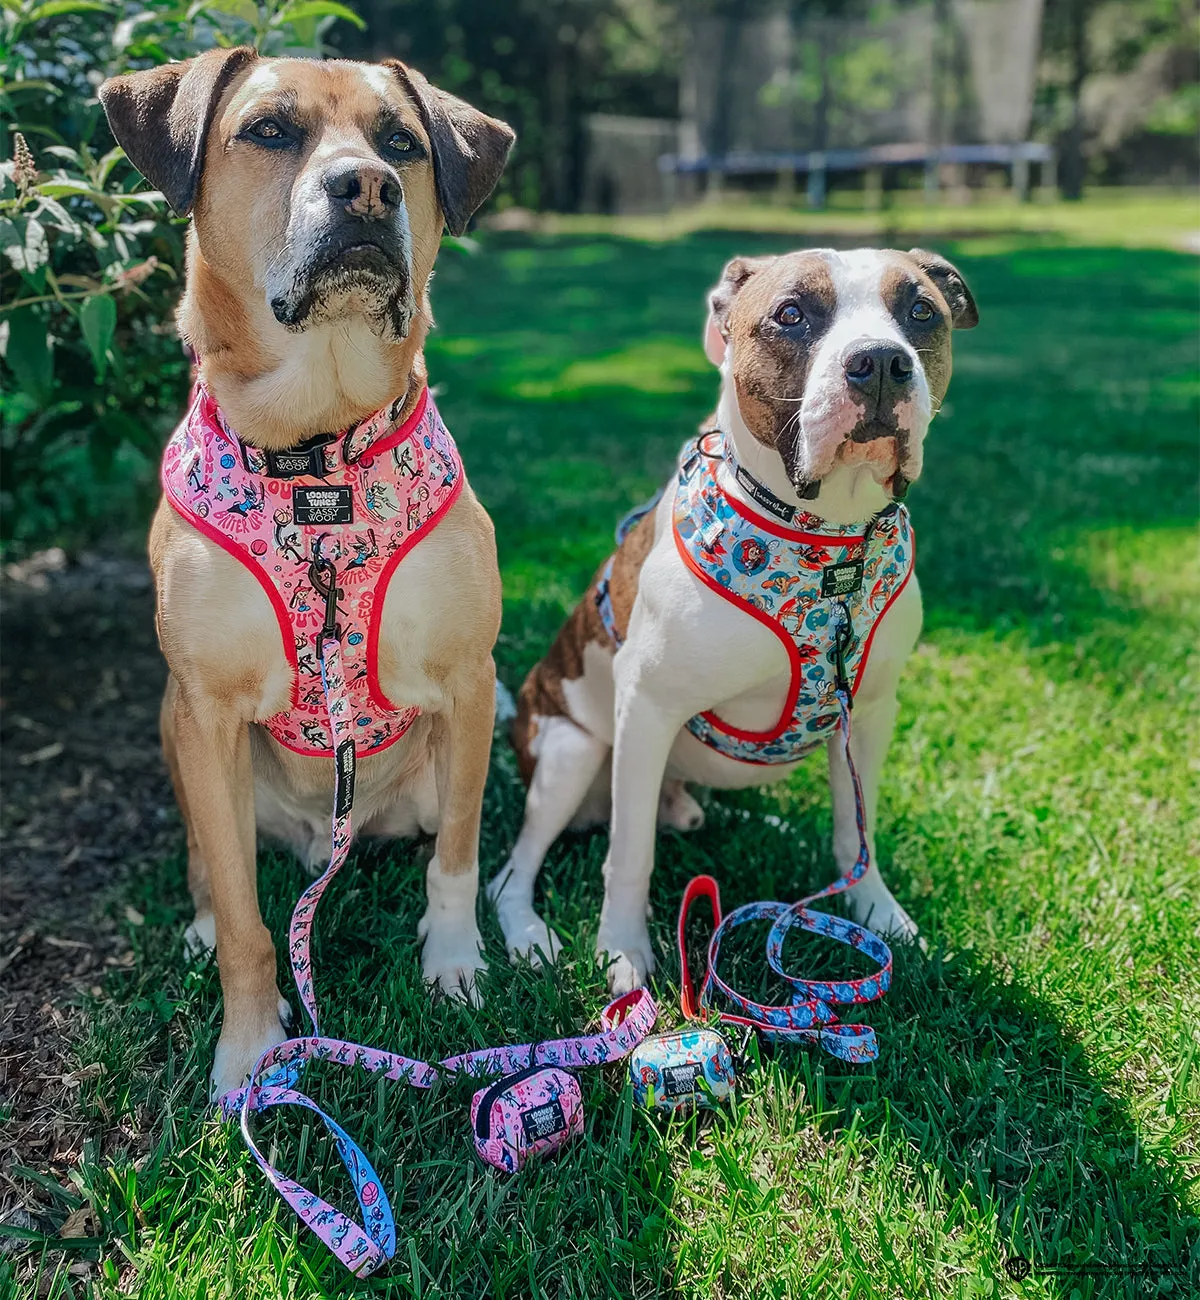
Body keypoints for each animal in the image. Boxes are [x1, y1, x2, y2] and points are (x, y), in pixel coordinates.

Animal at [100, 48, 514, 1097]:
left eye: (401, 143)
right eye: (269, 131)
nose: (364, 187)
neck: (318, 451)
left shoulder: (471, 684)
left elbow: (457, 855)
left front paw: (456, 966)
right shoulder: (204, 707)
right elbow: (251, 922)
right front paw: (251, 1048)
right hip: (177, 735)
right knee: (214, 866)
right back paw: (206, 922)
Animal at [491, 245, 982, 993]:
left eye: (921, 310)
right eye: (792, 313)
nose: (880, 361)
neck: (828, 544)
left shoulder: (869, 713)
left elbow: (857, 830)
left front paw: (877, 913)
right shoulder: (648, 707)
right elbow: (629, 852)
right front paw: (622, 950)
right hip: (569, 752)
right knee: (514, 870)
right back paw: (528, 933)